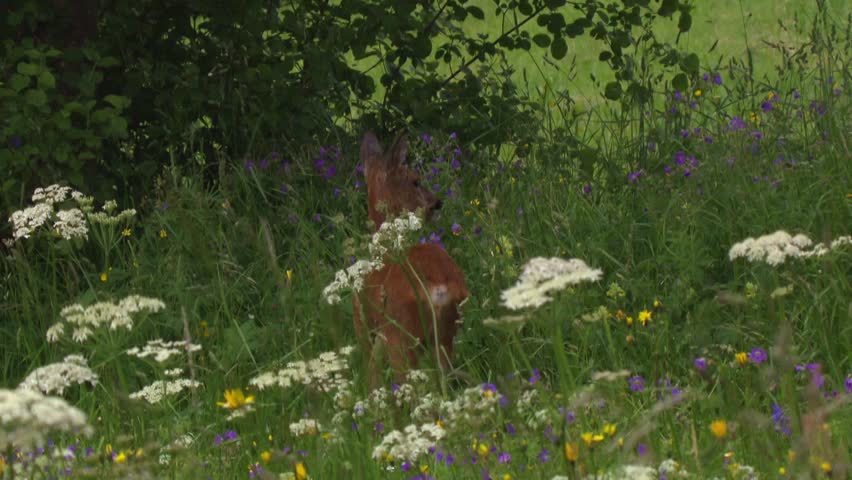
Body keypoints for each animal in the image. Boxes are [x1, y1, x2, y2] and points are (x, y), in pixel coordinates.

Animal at [353, 132, 469, 389]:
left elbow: (371, 379)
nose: (436, 202)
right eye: (415, 181)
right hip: (445, 334)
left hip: (401, 336)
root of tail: (439, 288)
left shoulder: (365, 327)